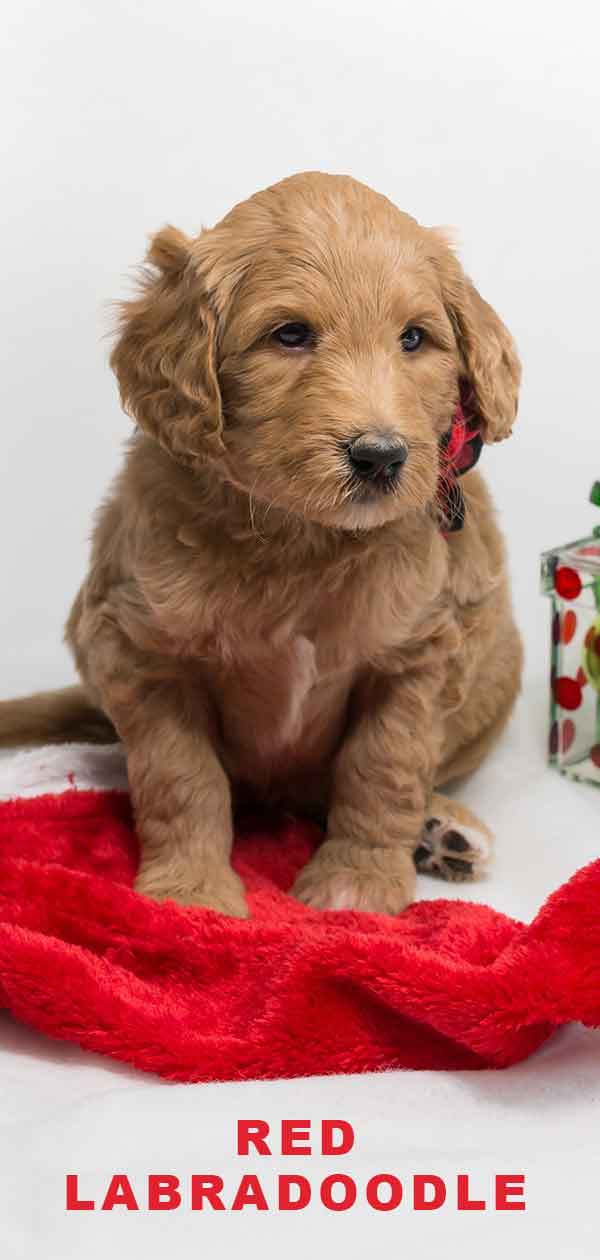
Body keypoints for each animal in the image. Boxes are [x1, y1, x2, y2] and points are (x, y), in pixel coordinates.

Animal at [0, 172, 519, 917]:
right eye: (290, 335)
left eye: (415, 339)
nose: (381, 456)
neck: (301, 539)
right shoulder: (137, 647)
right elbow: (180, 777)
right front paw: (191, 893)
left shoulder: (420, 653)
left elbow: (382, 768)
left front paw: (357, 884)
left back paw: (442, 830)